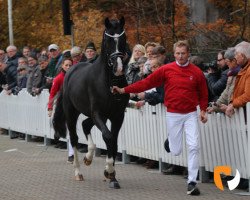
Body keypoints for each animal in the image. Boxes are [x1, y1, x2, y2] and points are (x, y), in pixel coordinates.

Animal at [53, 16, 130, 188]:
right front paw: (109, 171)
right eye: (108, 40)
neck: (109, 81)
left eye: (123, 39)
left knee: (85, 125)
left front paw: (112, 176)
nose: (118, 68)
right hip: (72, 113)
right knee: (74, 137)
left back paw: (88, 157)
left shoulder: (117, 115)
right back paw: (78, 172)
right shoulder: (98, 113)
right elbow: (108, 137)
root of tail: (69, 72)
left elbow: (114, 141)